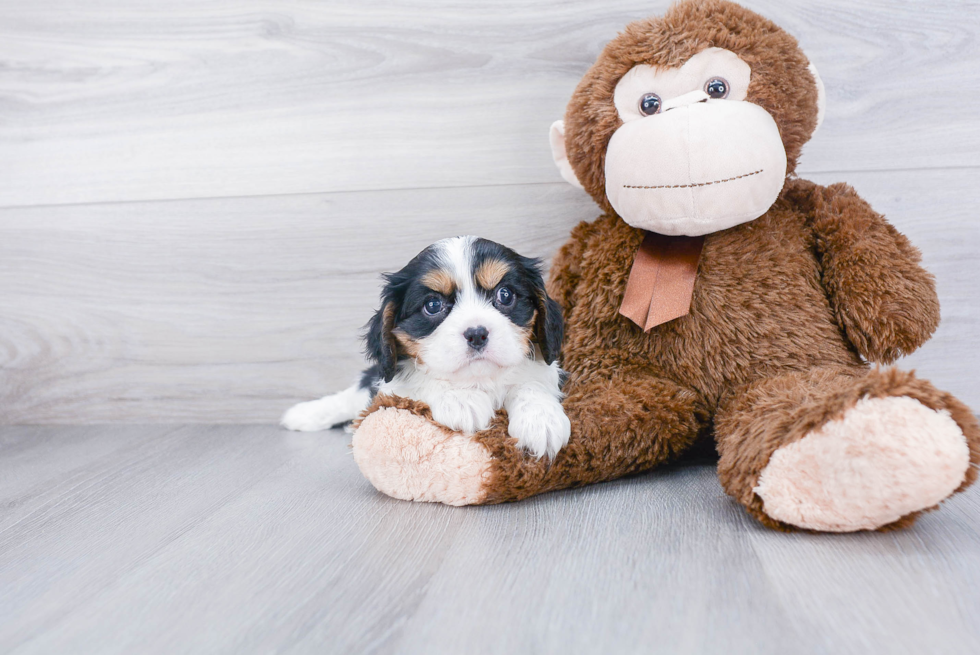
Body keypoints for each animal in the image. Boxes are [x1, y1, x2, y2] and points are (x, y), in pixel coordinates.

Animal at [280, 238, 572, 458]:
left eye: (505, 294)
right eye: (432, 305)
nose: (477, 334)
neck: (480, 380)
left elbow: (531, 383)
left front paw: (541, 419)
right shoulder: (393, 383)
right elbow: (420, 378)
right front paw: (461, 399)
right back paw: (303, 415)